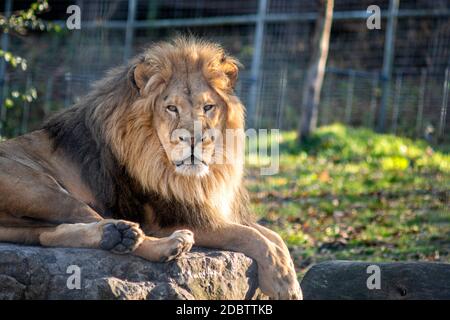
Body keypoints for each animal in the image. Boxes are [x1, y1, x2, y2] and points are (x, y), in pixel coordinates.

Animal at [0, 37, 302, 300]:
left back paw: (114, 236)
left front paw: (288, 277)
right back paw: (161, 243)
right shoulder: (171, 217)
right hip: (44, 190)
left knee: (50, 235)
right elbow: (253, 236)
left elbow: (274, 236)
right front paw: (284, 285)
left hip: (29, 221)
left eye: (208, 107)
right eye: (171, 108)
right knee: (107, 226)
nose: (194, 139)